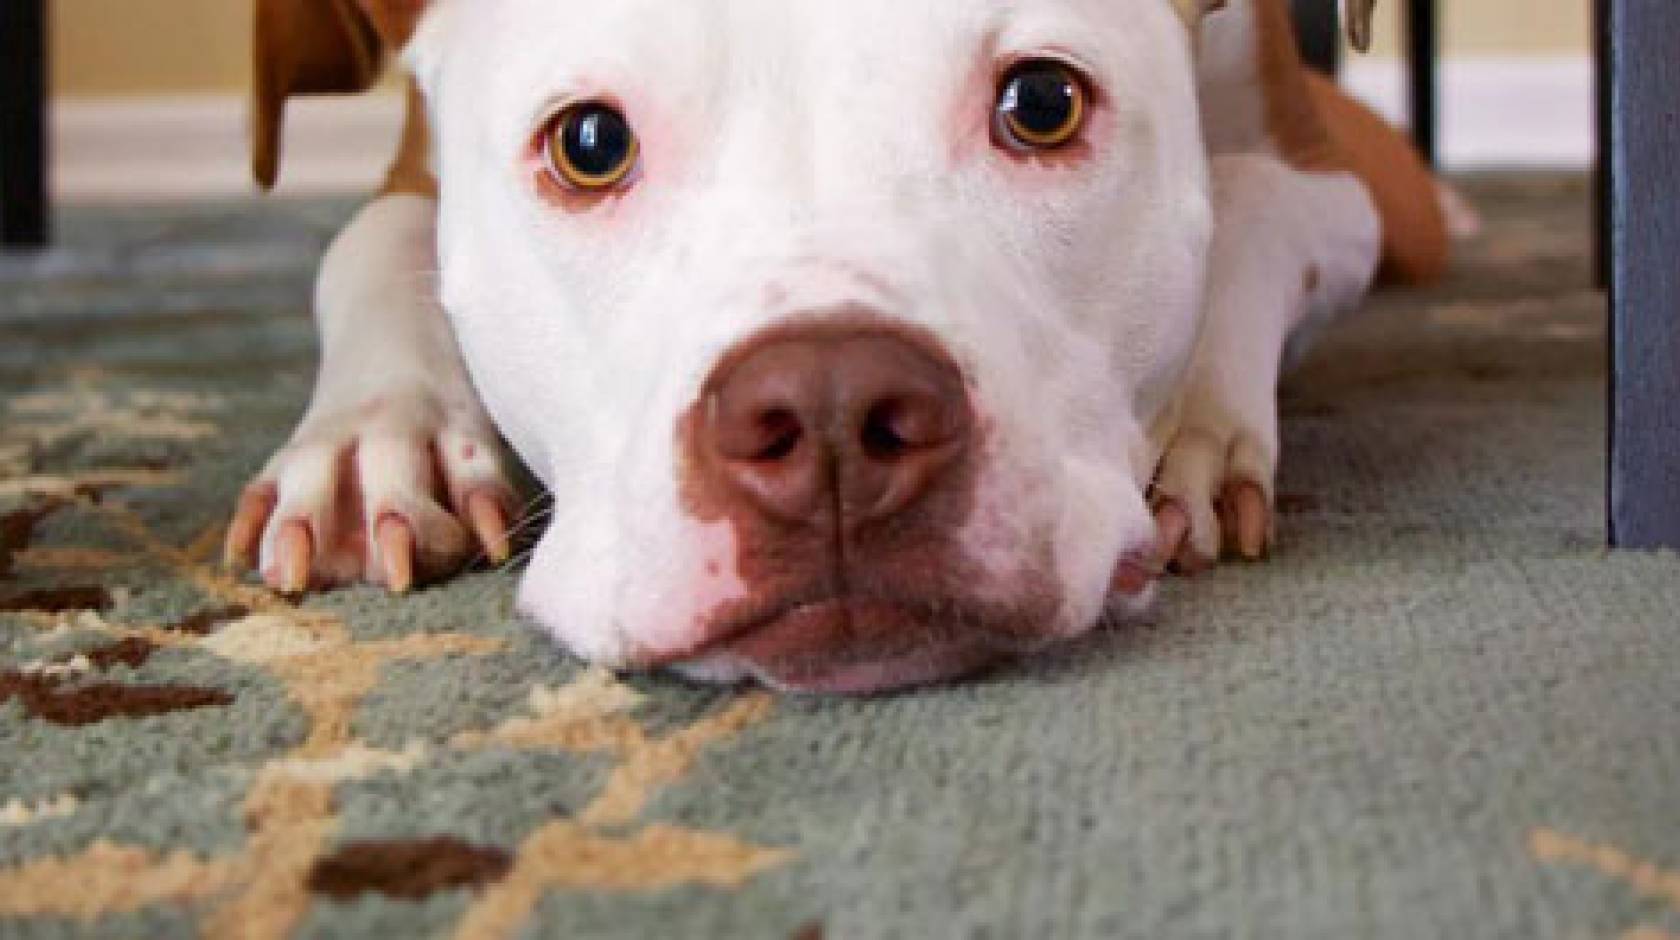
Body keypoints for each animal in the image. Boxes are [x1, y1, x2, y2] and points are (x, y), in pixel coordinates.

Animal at [230, 0, 1451, 691]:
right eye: (589, 142)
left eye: (1043, 101)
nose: (828, 414)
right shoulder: (412, 170)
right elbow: (369, 239)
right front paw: (374, 444)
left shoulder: (1336, 178)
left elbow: (1248, 195)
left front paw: (1196, 427)